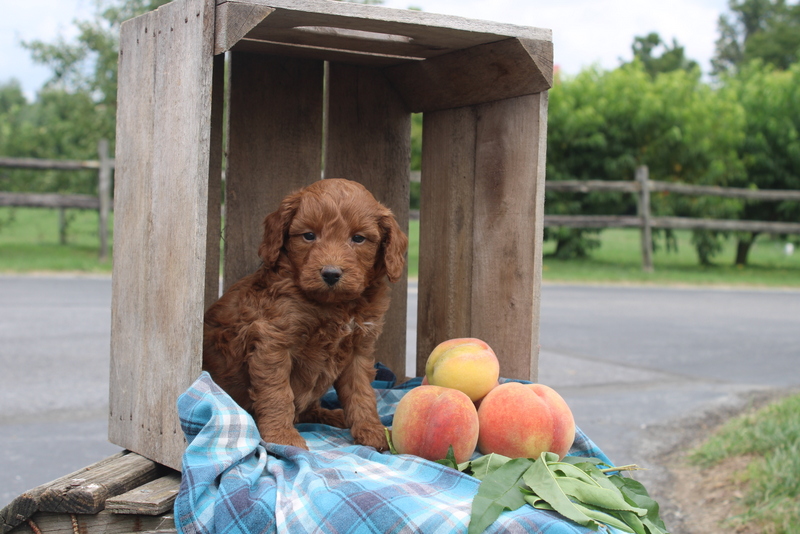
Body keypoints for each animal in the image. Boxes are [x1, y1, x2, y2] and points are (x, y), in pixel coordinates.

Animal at [203, 180, 410, 452]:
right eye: (309, 235)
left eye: (358, 238)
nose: (331, 274)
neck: (335, 304)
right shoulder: (274, 342)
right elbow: (277, 393)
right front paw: (282, 437)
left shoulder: (358, 349)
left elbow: (361, 393)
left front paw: (373, 431)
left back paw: (334, 415)